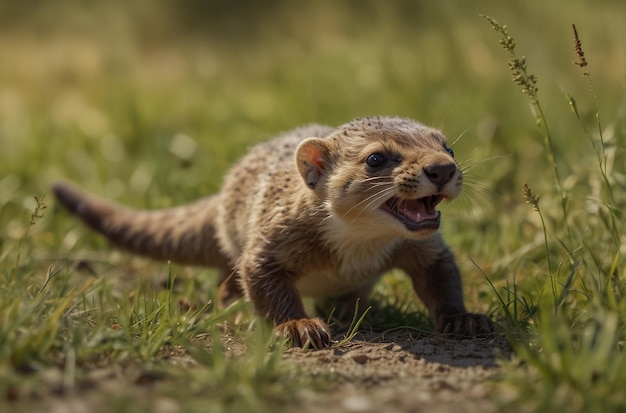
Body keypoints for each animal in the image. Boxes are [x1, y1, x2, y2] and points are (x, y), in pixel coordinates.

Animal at [52, 116, 492, 348]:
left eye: (448, 147)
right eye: (376, 158)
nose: (442, 168)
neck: (352, 256)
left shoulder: (428, 251)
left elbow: (443, 280)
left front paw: (464, 318)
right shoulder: (268, 247)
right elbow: (267, 286)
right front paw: (300, 327)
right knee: (227, 283)